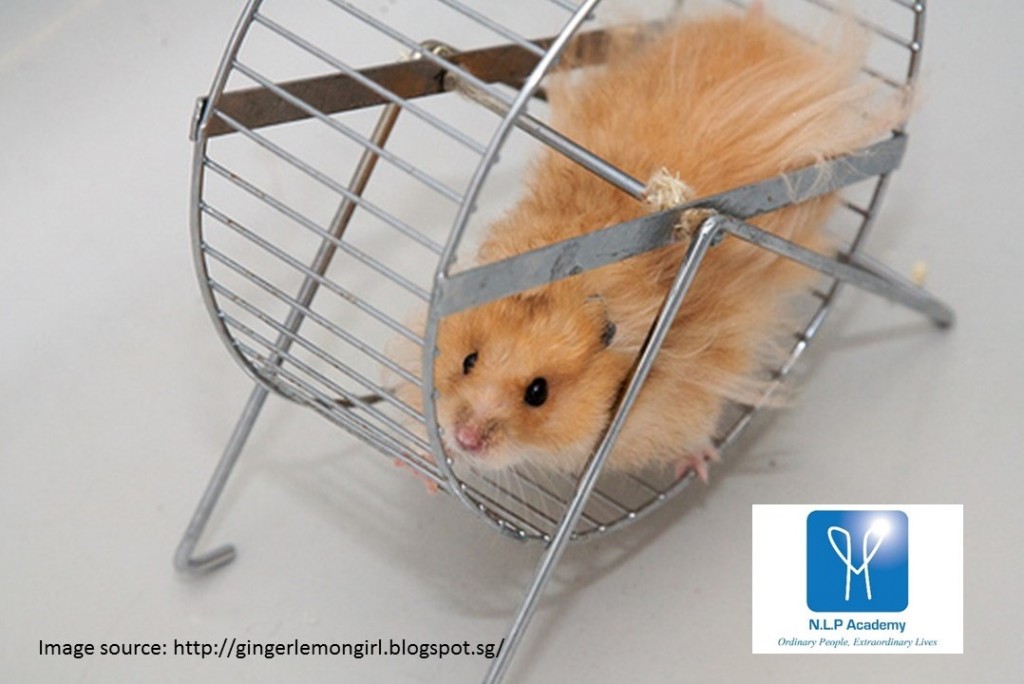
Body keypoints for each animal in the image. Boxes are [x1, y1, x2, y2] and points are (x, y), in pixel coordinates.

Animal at [398, 10, 908, 481]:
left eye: (538, 393)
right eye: (468, 360)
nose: (466, 437)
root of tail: (766, 26)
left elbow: (699, 427)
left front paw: (698, 467)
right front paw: (424, 462)